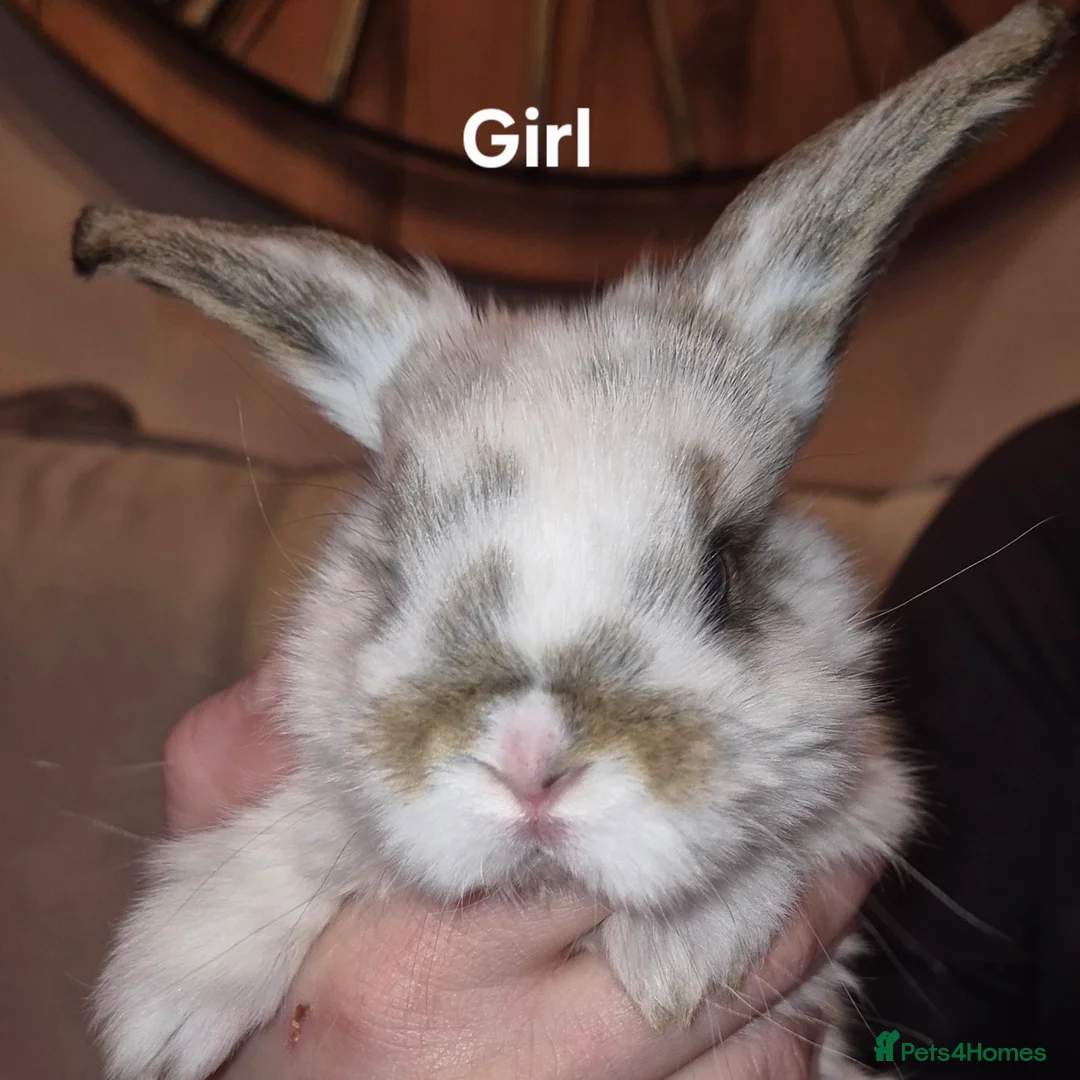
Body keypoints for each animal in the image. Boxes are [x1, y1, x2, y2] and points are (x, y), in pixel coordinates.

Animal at [70, 4, 1070, 1078]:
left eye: (723, 569)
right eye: (397, 569)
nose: (529, 762)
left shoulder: (875, 793)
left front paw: (682, 954)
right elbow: (320, 828)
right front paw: (167, 995)